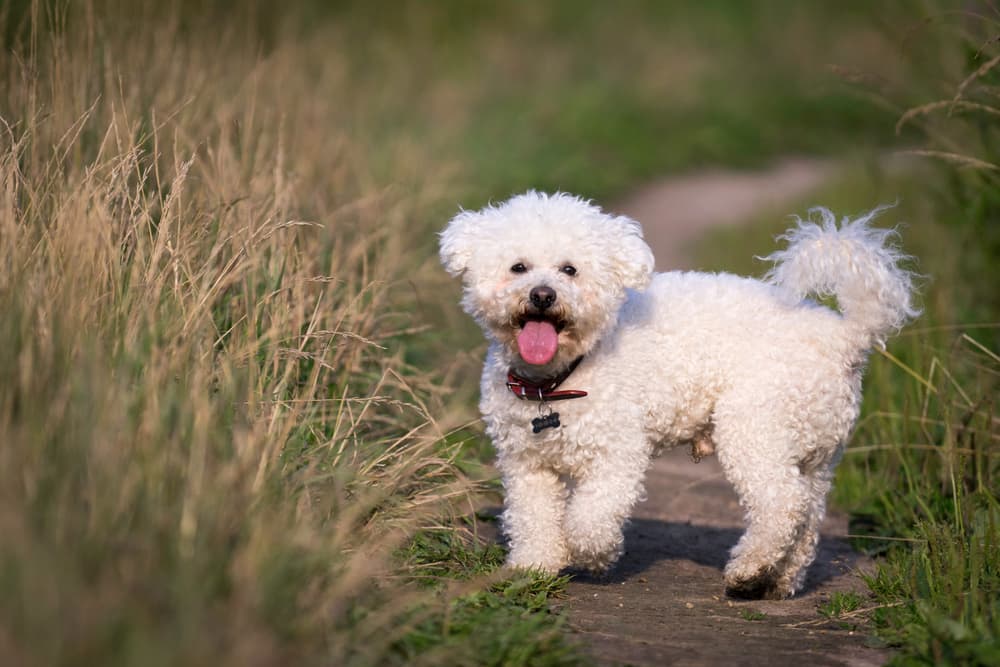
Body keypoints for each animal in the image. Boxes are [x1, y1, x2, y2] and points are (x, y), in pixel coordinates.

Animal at [442, 192, 916, 600]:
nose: (542, 295)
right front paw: (535, 565)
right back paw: (777, 580)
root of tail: (843, 337)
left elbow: (592, 515)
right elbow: (532, 517)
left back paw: (748, 569)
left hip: (755, 428)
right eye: (518, 267)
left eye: (569, 270)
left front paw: (592, 555)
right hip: (815, 454)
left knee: (783, 504)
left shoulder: (617, 454)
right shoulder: (526, 463)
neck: (557, 381)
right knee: (807, 517)